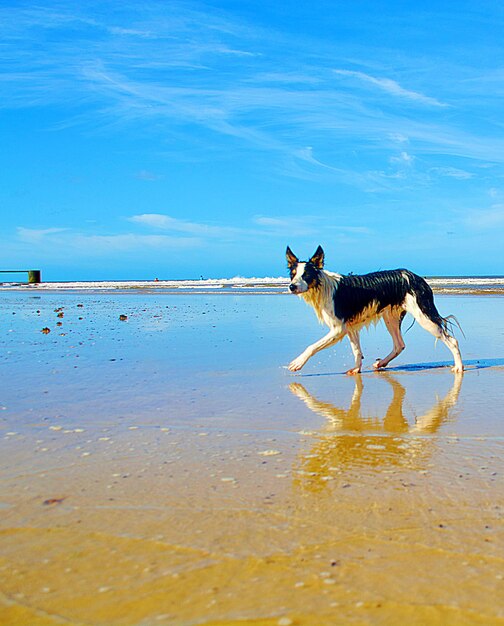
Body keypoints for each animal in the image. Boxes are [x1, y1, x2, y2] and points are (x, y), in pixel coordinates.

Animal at [286, 243, 462, 370]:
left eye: (306, 275)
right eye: (293, 275)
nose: (291, 287)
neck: (322, 287)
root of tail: (417, 277)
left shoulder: (338, 328)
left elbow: (312, 346)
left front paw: (297, 362)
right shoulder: (349, 327)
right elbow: (357, 351)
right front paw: (356, 371)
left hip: (423, 317)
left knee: (452, 341)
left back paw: (459, 368)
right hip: (390, 317)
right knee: (399, 345)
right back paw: (381, 363)